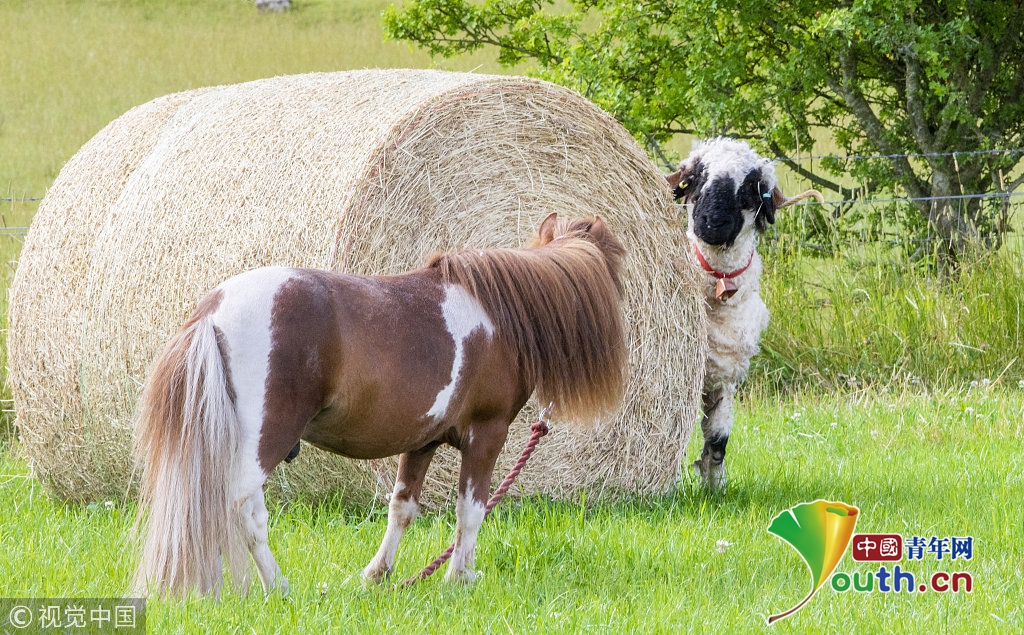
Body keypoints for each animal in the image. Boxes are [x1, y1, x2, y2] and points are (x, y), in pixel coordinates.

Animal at [132, 212, 628, 597]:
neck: (499, 319)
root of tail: (213, 311)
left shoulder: (422, 440)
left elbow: (402, 507)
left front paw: (378, 574)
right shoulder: (487, 434)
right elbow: (471, 510)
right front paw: (458, 577)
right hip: (262, 442)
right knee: (241, 511)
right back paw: (278, 588)